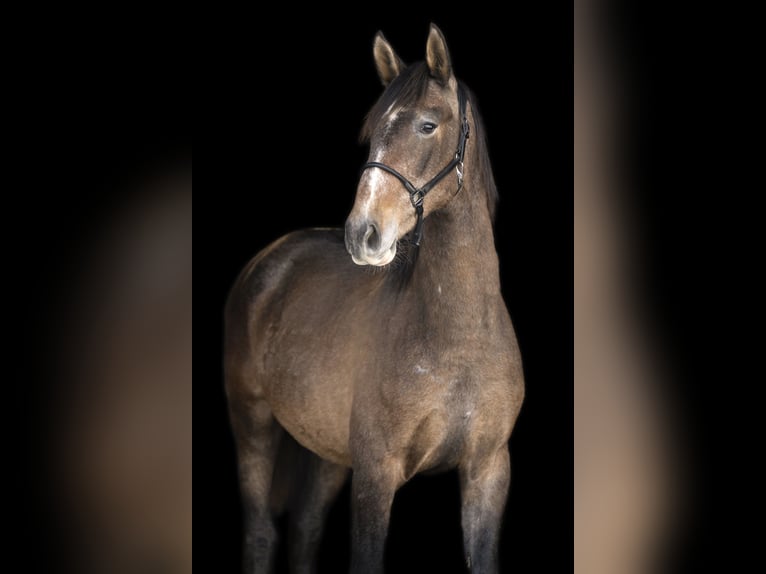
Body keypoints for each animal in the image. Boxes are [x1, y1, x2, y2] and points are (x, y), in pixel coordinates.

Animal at [225, 24, 524, 574]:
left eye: (428, 125)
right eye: (372, 133)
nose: (363, 233)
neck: (459, 338)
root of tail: (269, 261)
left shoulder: (488, 469)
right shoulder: (375, 473)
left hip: (325, 451)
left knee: (305, 529)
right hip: (252, 424)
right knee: (260, 533)